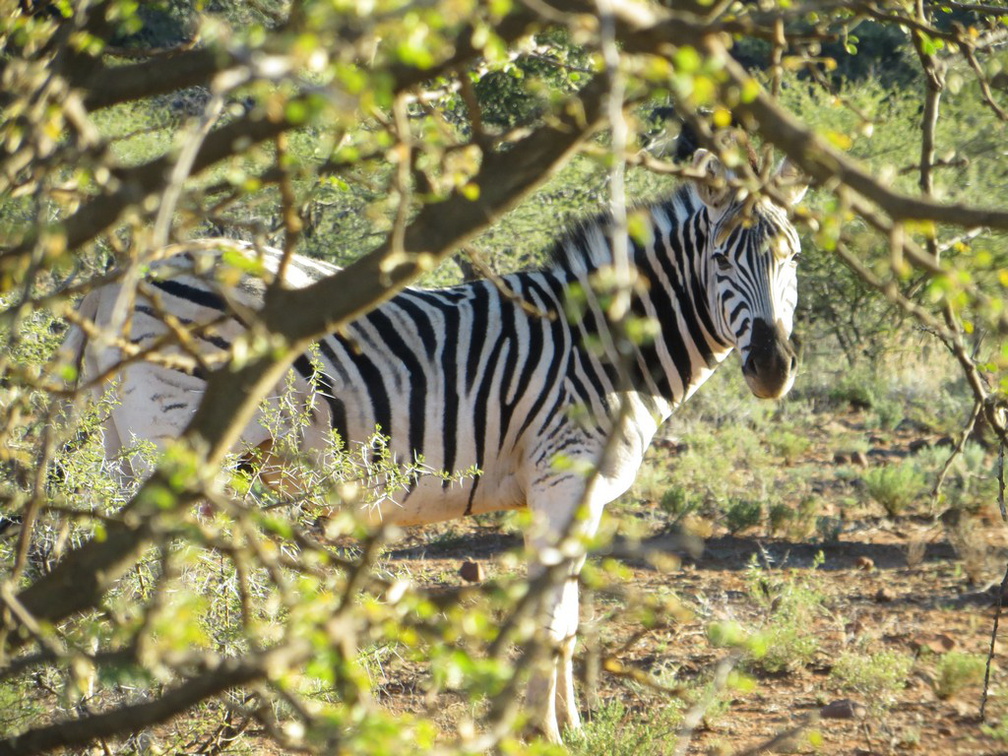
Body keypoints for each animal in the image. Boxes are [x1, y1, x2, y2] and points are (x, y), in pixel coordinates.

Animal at [58, 151, 806, 741]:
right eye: (719, 258)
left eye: (792, 258)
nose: (772, 368)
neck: (607, 345)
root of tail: (124, 273)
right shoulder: (563, 478)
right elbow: (553, 618)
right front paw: (548, 731)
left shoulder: (567, 492)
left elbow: (562, 615)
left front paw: (567, 722)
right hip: (170, 446)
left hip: (128, 451)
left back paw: (116, 706)